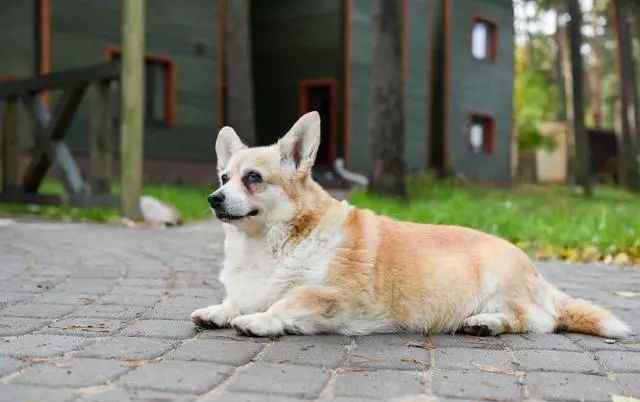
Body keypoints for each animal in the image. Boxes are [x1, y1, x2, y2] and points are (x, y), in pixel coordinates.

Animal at [190, 110, 632, 340]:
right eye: (224, 178)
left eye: (253, 178)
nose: (213, 198)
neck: (266, 244)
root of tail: (537, 273)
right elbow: (236, 301)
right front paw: (220, 311)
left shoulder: (331, 295)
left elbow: (287, 302)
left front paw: (259, 320)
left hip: (502, 286)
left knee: (536, 320)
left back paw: (486, 322)